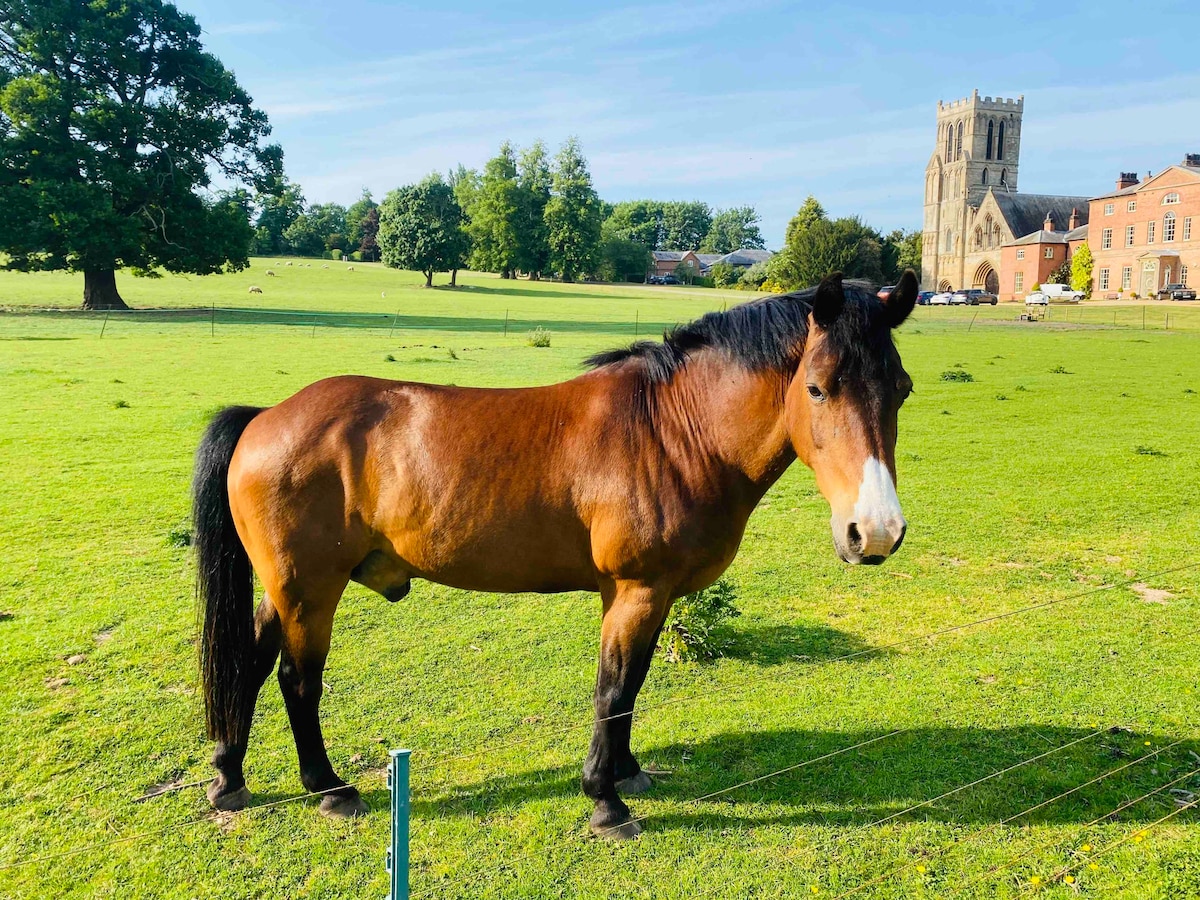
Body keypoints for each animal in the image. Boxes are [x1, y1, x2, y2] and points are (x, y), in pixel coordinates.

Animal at [192, 271, 912, 844]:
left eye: (901, 389)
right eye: (817, 388)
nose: (875, 532)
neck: (672, 429)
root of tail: (265, 416)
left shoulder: (646, 595)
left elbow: (630, 686)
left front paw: (626, 770)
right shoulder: (638, 589)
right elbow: (613, 688)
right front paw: (605, 800)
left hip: (286, 588)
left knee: (250, 663)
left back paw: (230, 775)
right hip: (311, 589)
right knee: (296, 680)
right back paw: (328, 787)